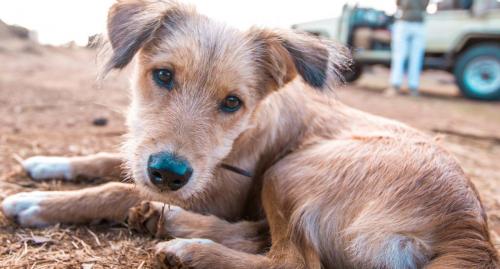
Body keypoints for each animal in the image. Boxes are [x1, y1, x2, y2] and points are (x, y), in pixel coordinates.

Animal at [1, 1, 498, 266]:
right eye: (163, 76)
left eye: (232, 103)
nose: (169, 174)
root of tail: (468, 229)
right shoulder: (149, 152)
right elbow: (109, 160)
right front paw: (48, 164)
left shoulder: (220, 188)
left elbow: (113, 189)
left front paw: (38, 203)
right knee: (260, 234)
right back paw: (172, 221)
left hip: (291, 168)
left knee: (292, 259)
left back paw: (189, 247)